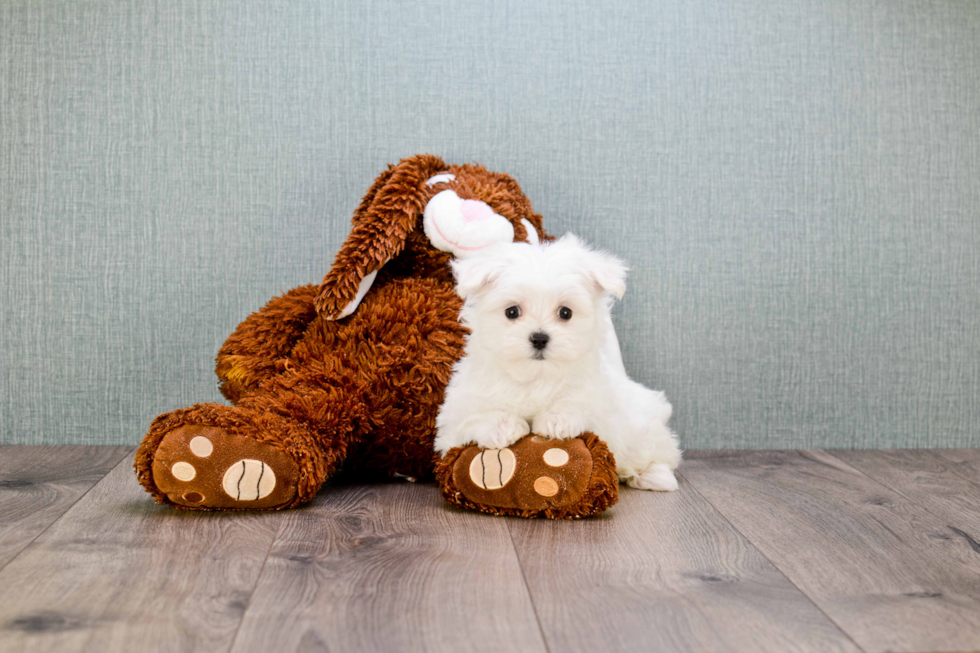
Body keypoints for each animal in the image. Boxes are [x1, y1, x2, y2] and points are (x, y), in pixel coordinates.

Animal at [436, 234, 680, 488]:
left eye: (565, 313)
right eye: (512, 312)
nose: (539, 338)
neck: (536, 376)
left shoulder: (602, 406)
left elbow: (584, 406)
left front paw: (557, 419)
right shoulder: (455, 416)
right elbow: (470, 417)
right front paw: (501, 426)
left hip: (646, 429)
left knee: (662, 452)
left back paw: (654, 476)